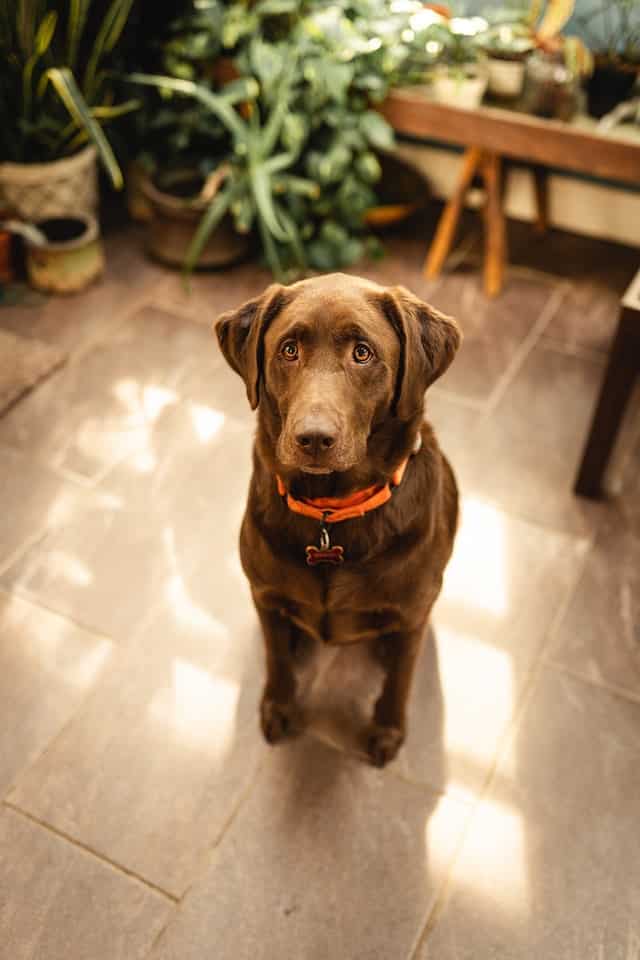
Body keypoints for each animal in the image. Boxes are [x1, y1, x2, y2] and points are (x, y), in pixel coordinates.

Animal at [215, 270, 460, 764]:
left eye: (362, 353)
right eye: (289, 349)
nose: (313, 438)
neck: (330, 513)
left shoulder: (411, 617)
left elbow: (399, 681)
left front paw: (387, 731)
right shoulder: (265, 598)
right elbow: (277, 660)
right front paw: (277, 706)